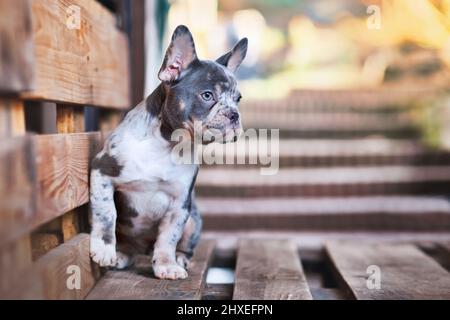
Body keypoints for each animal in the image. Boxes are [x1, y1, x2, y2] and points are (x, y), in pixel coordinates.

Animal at [89, 25, 248, 278]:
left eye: (238, 99)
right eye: (207, 95)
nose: (234, 114)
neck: (165, 144)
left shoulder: (180, 204)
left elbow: (168, 237)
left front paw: (166, 264)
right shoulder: (102, 171)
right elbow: (106, 214)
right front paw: (105, 249)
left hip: (193, 217)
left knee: (183, 244)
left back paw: (180, 259)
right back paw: (122, 254)